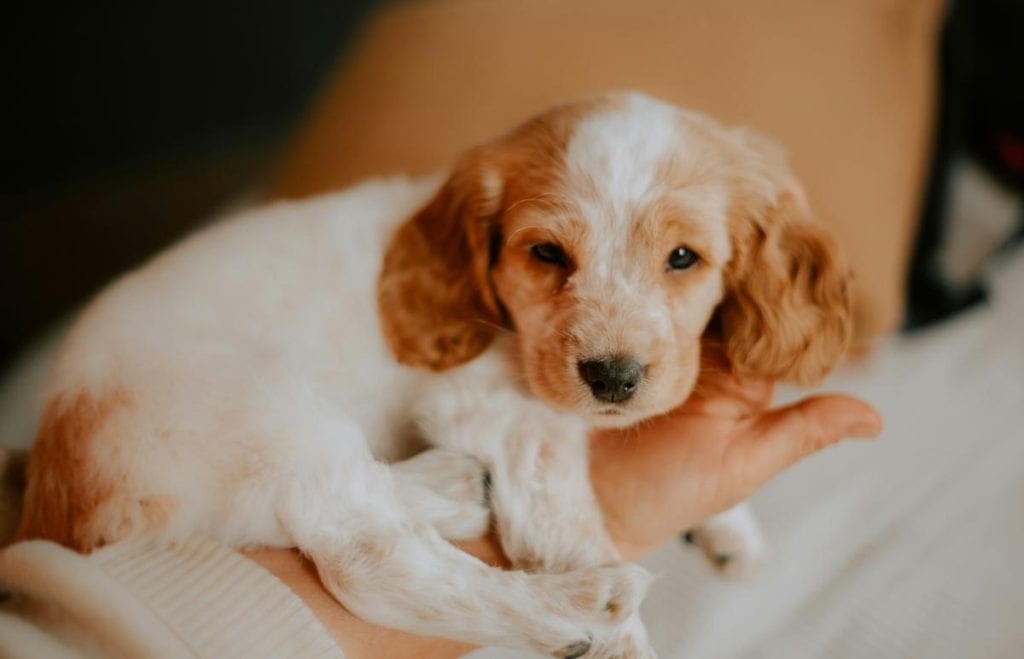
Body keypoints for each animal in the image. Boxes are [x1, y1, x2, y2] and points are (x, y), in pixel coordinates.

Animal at [16, 91, 851, 654]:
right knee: (369, 558)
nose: (612, 378)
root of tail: (61, 477)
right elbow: (561, 514)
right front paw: (624, 639)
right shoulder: (492, 409)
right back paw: (580, 599)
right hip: (265, 408)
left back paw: (452, 487)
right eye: (546, 253)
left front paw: (729, 528)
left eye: (684, 258)